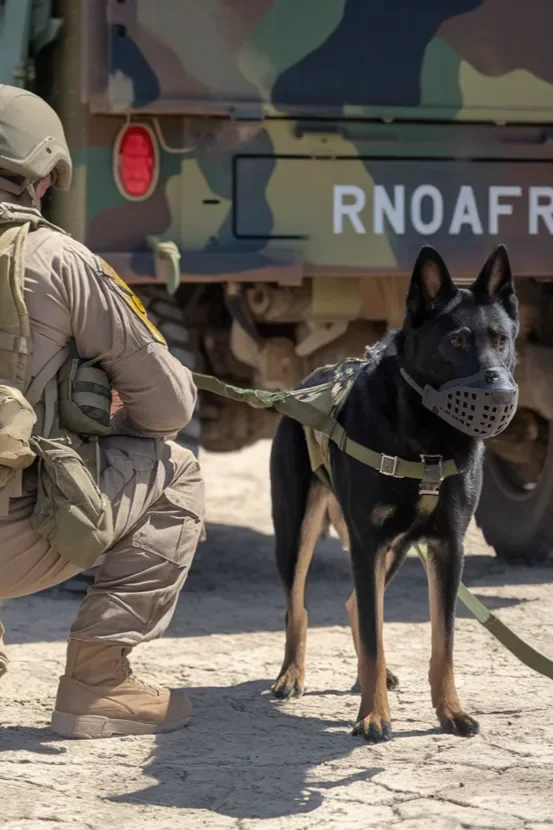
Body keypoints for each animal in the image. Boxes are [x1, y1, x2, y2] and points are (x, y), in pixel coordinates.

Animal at [270, 244, 520, 744]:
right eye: (457, 341)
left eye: (501, 339)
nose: (502, 392)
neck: (426, 438)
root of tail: (307, 381)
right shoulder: (368, 544)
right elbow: (372, 636)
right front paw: (373, 717)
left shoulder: (447, 547)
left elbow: (442, 642)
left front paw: (450, 712)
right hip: (296, 532)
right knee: (298, 607)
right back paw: (292, 675)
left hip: (398, 549)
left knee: (354, 604)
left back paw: (375, 677)